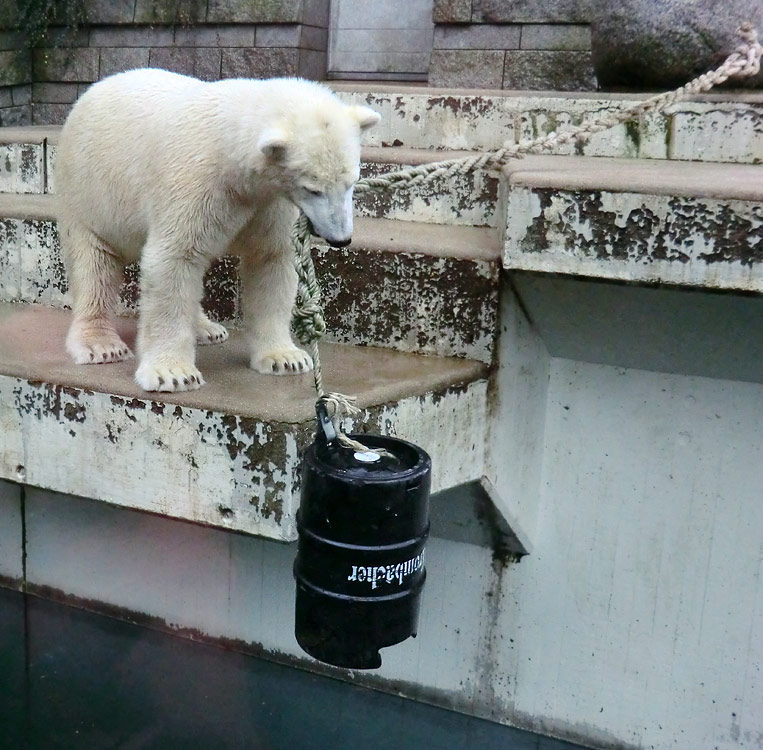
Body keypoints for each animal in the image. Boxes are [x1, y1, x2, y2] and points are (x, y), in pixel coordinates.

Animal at [57, 69, 382, 394]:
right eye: (312, 189)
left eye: (352, 181)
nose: (341, 239)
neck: (228, 149)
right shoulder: (197, 184)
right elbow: (175, 258)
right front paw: (173, 374)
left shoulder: (269, 202)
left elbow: (271, 260)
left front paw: (285, 358)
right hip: (90, 189)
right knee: (94, 263)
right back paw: (101, 345)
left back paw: (206, 329)